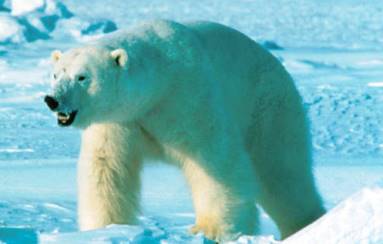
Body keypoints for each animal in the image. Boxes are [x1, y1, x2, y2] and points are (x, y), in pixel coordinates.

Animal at [45, 20, 328, 241]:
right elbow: (106, 167)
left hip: (268, 109)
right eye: (56, 75)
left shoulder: (187, 98)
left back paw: (306, 224)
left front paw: (209, 229)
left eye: (82, 77)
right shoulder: (119, 121)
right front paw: (105, 229)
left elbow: (216, 161)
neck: (157, 85)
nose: (52, 100)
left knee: (282, 172)